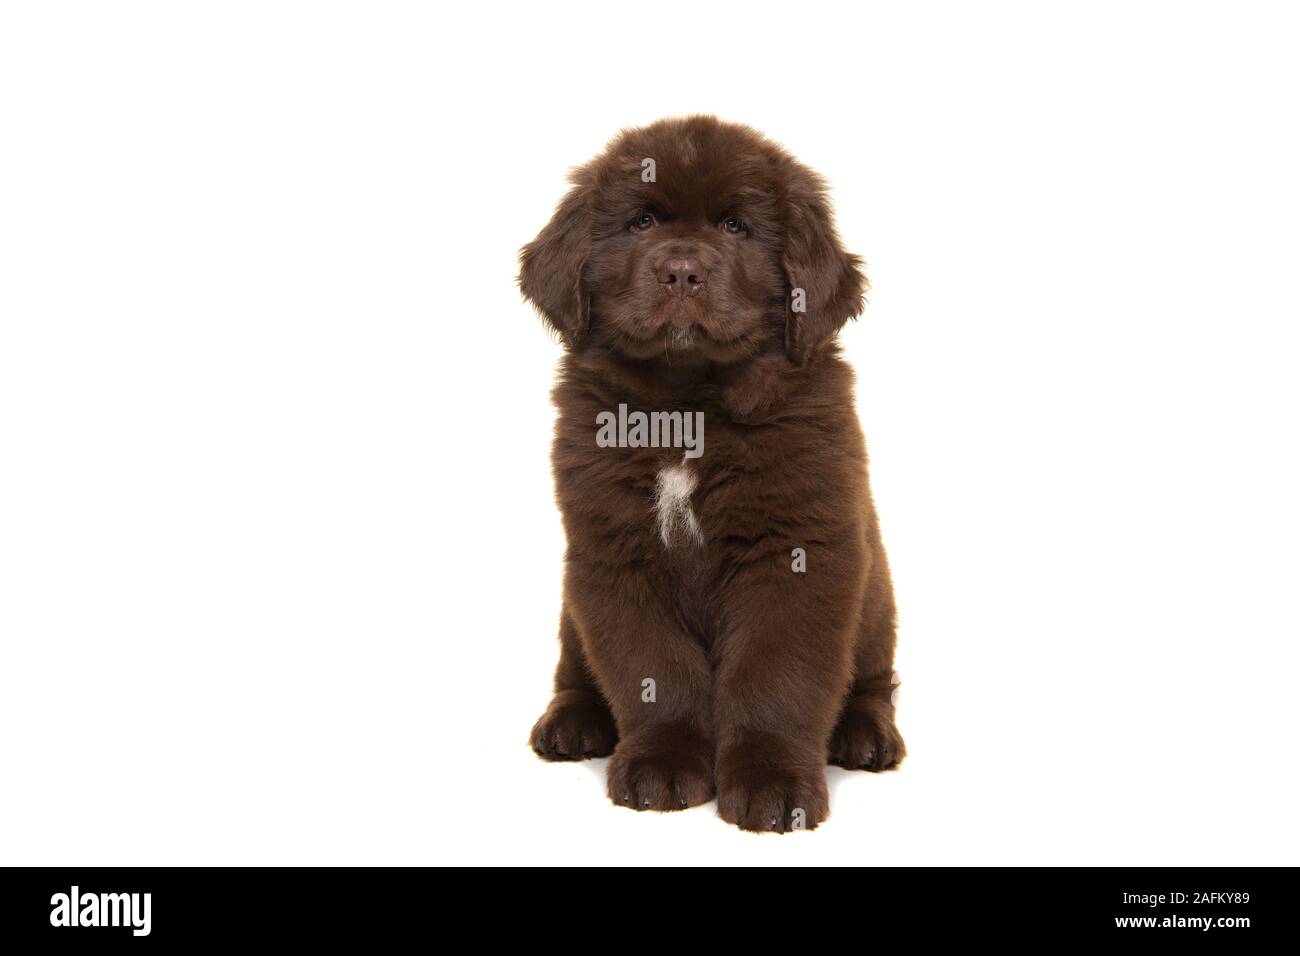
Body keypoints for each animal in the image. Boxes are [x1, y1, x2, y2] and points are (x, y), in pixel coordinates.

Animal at [517, 115, 904, 832]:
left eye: (736, 226)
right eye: (641, 221)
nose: (681, 270)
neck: (688, 409)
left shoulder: (796, 549)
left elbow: (775, 674)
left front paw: (772, 781)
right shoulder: (614, 551)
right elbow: (653, 669)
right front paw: (663, 764)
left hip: (877, 599)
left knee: (872, 679)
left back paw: (865, 733)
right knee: (573, 668)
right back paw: (571, 723)